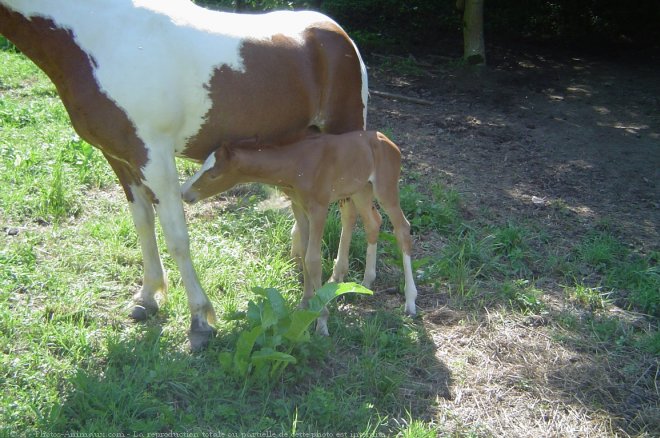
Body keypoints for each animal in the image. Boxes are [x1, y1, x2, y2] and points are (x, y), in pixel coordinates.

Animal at [0, 0, 366, 350]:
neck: (96, 34)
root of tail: (337, 33)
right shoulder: (120, 158)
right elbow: (143, 223)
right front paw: (148, 298)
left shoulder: (154, 156)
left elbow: (177, 237)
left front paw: (200, 321)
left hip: (346, 132)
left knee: (351, 209)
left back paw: (338, 279)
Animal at [182, 132, 418, 334]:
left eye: (214, 175)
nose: (184, 193)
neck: (297, 163)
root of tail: (389, 142)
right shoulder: (299, 207)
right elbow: (304, 254)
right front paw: (305, 302)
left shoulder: (319, 208)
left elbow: (313, 259)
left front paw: (322, 321)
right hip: (361, 189)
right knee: (373, 223)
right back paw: (367, 281)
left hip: (385, 189)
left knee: (402, 229)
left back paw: (410, 300)